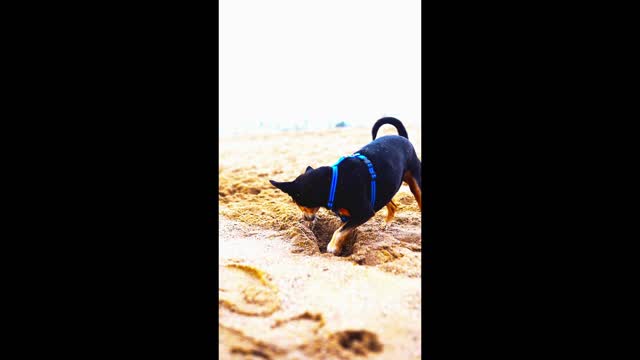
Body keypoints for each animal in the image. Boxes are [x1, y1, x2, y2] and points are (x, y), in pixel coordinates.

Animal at [268, 116, 420, 255]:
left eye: (296, 201)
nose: (305, 219)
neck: (334, 181)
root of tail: (403, 138)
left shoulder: (365, 212)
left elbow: (339, 231)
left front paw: (332, 247)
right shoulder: (347, 216)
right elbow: (343, 230)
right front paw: (339, 248)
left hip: (415, 184)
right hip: (384, 189)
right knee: (393, 205)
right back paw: (387, 223)